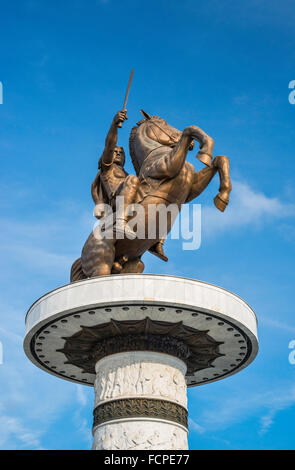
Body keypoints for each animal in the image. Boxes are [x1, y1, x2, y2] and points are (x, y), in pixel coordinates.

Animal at [70, 111, 232, 280]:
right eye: (164, 124)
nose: (193, 145)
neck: (154, 153)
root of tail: (82, 257)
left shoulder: (191, 189)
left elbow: (220, 159)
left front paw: (222, 197)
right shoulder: (168, 165)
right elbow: (190, 129)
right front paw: (205, 150)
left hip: (133, 264)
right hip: (101, 264)